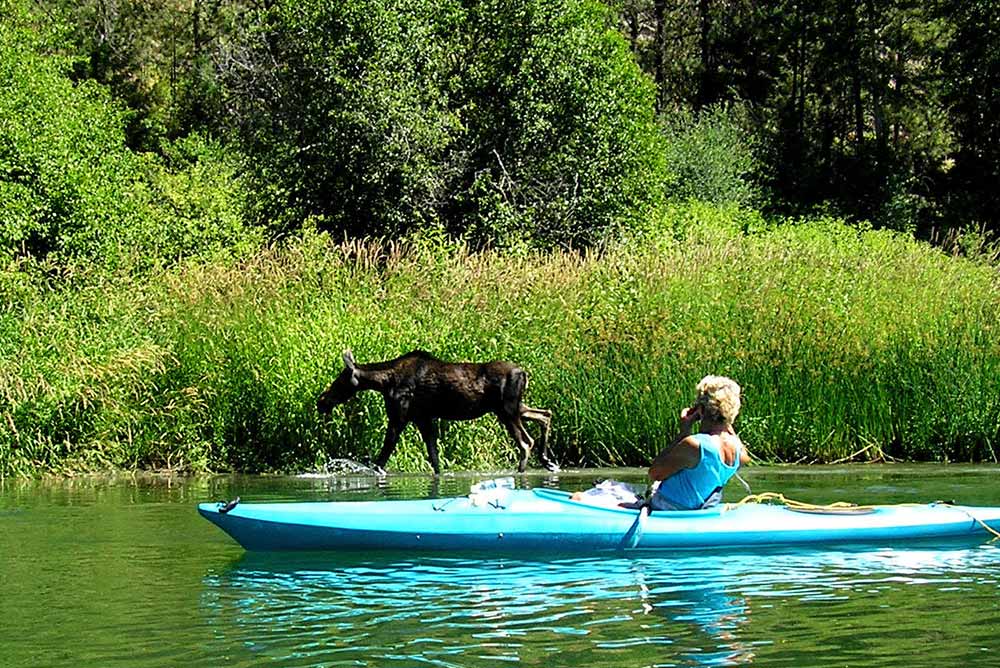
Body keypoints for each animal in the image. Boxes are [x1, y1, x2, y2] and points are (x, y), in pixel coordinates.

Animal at [317, 350, 557, 474]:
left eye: (339, 380)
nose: (321, 401)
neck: (384, 382)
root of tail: (524, 373)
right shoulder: (424, 418)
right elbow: (434, 458)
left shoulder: (399, 416)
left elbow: (382, 457)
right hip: (514, 408)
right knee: (545, 414)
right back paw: (547, 460)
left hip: (507, 410)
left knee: (526, 442)